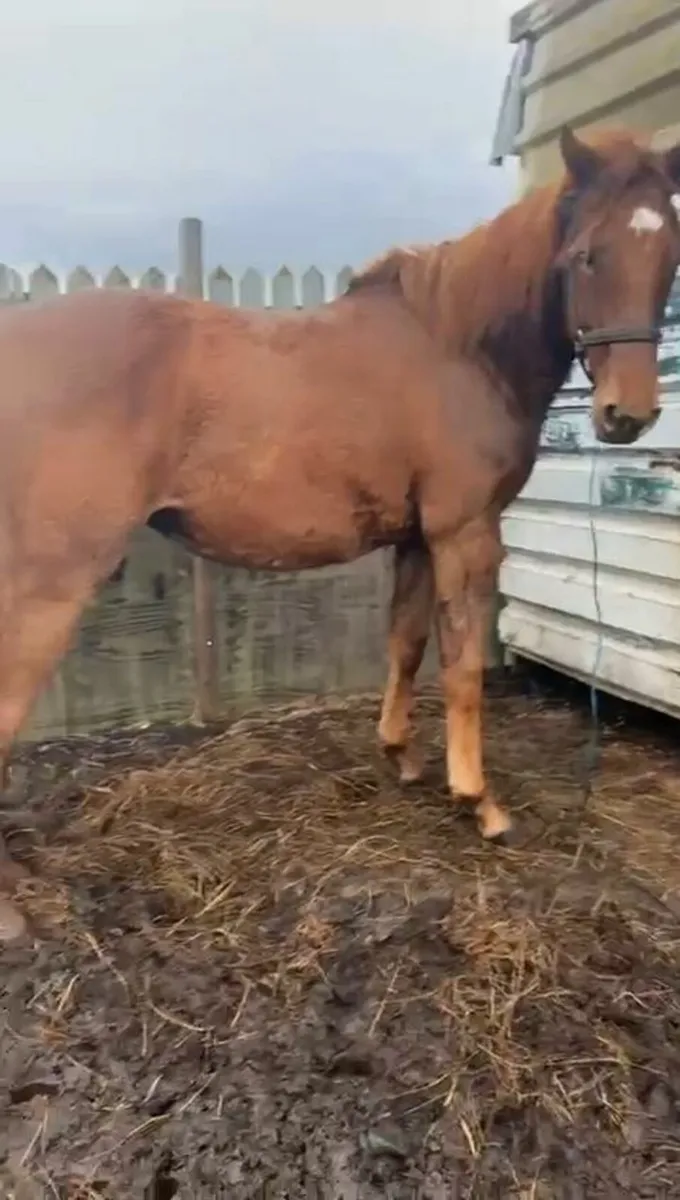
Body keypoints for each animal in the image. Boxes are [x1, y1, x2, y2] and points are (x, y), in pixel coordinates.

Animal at [0, 126, 678, 942]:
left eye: (668, 254)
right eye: (586, 255)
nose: (626, 416)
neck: (458, 348)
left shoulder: (417, 538)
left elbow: (406, 643)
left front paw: (402, 757)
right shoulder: (464, 533)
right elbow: (462, 668)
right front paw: (479, 801)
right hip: (50, 580)